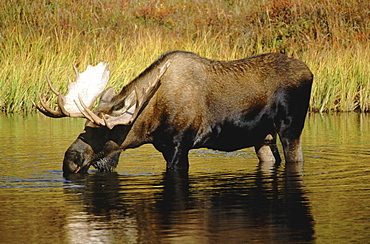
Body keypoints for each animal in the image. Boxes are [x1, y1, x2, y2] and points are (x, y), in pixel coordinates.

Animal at [34, 51, 312, 173]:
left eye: (104, 132)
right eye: (84, 128)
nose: (69, 160)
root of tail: (310, 72)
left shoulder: (181, 144)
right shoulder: (165, 147)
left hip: (291, 127)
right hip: (262, 137)